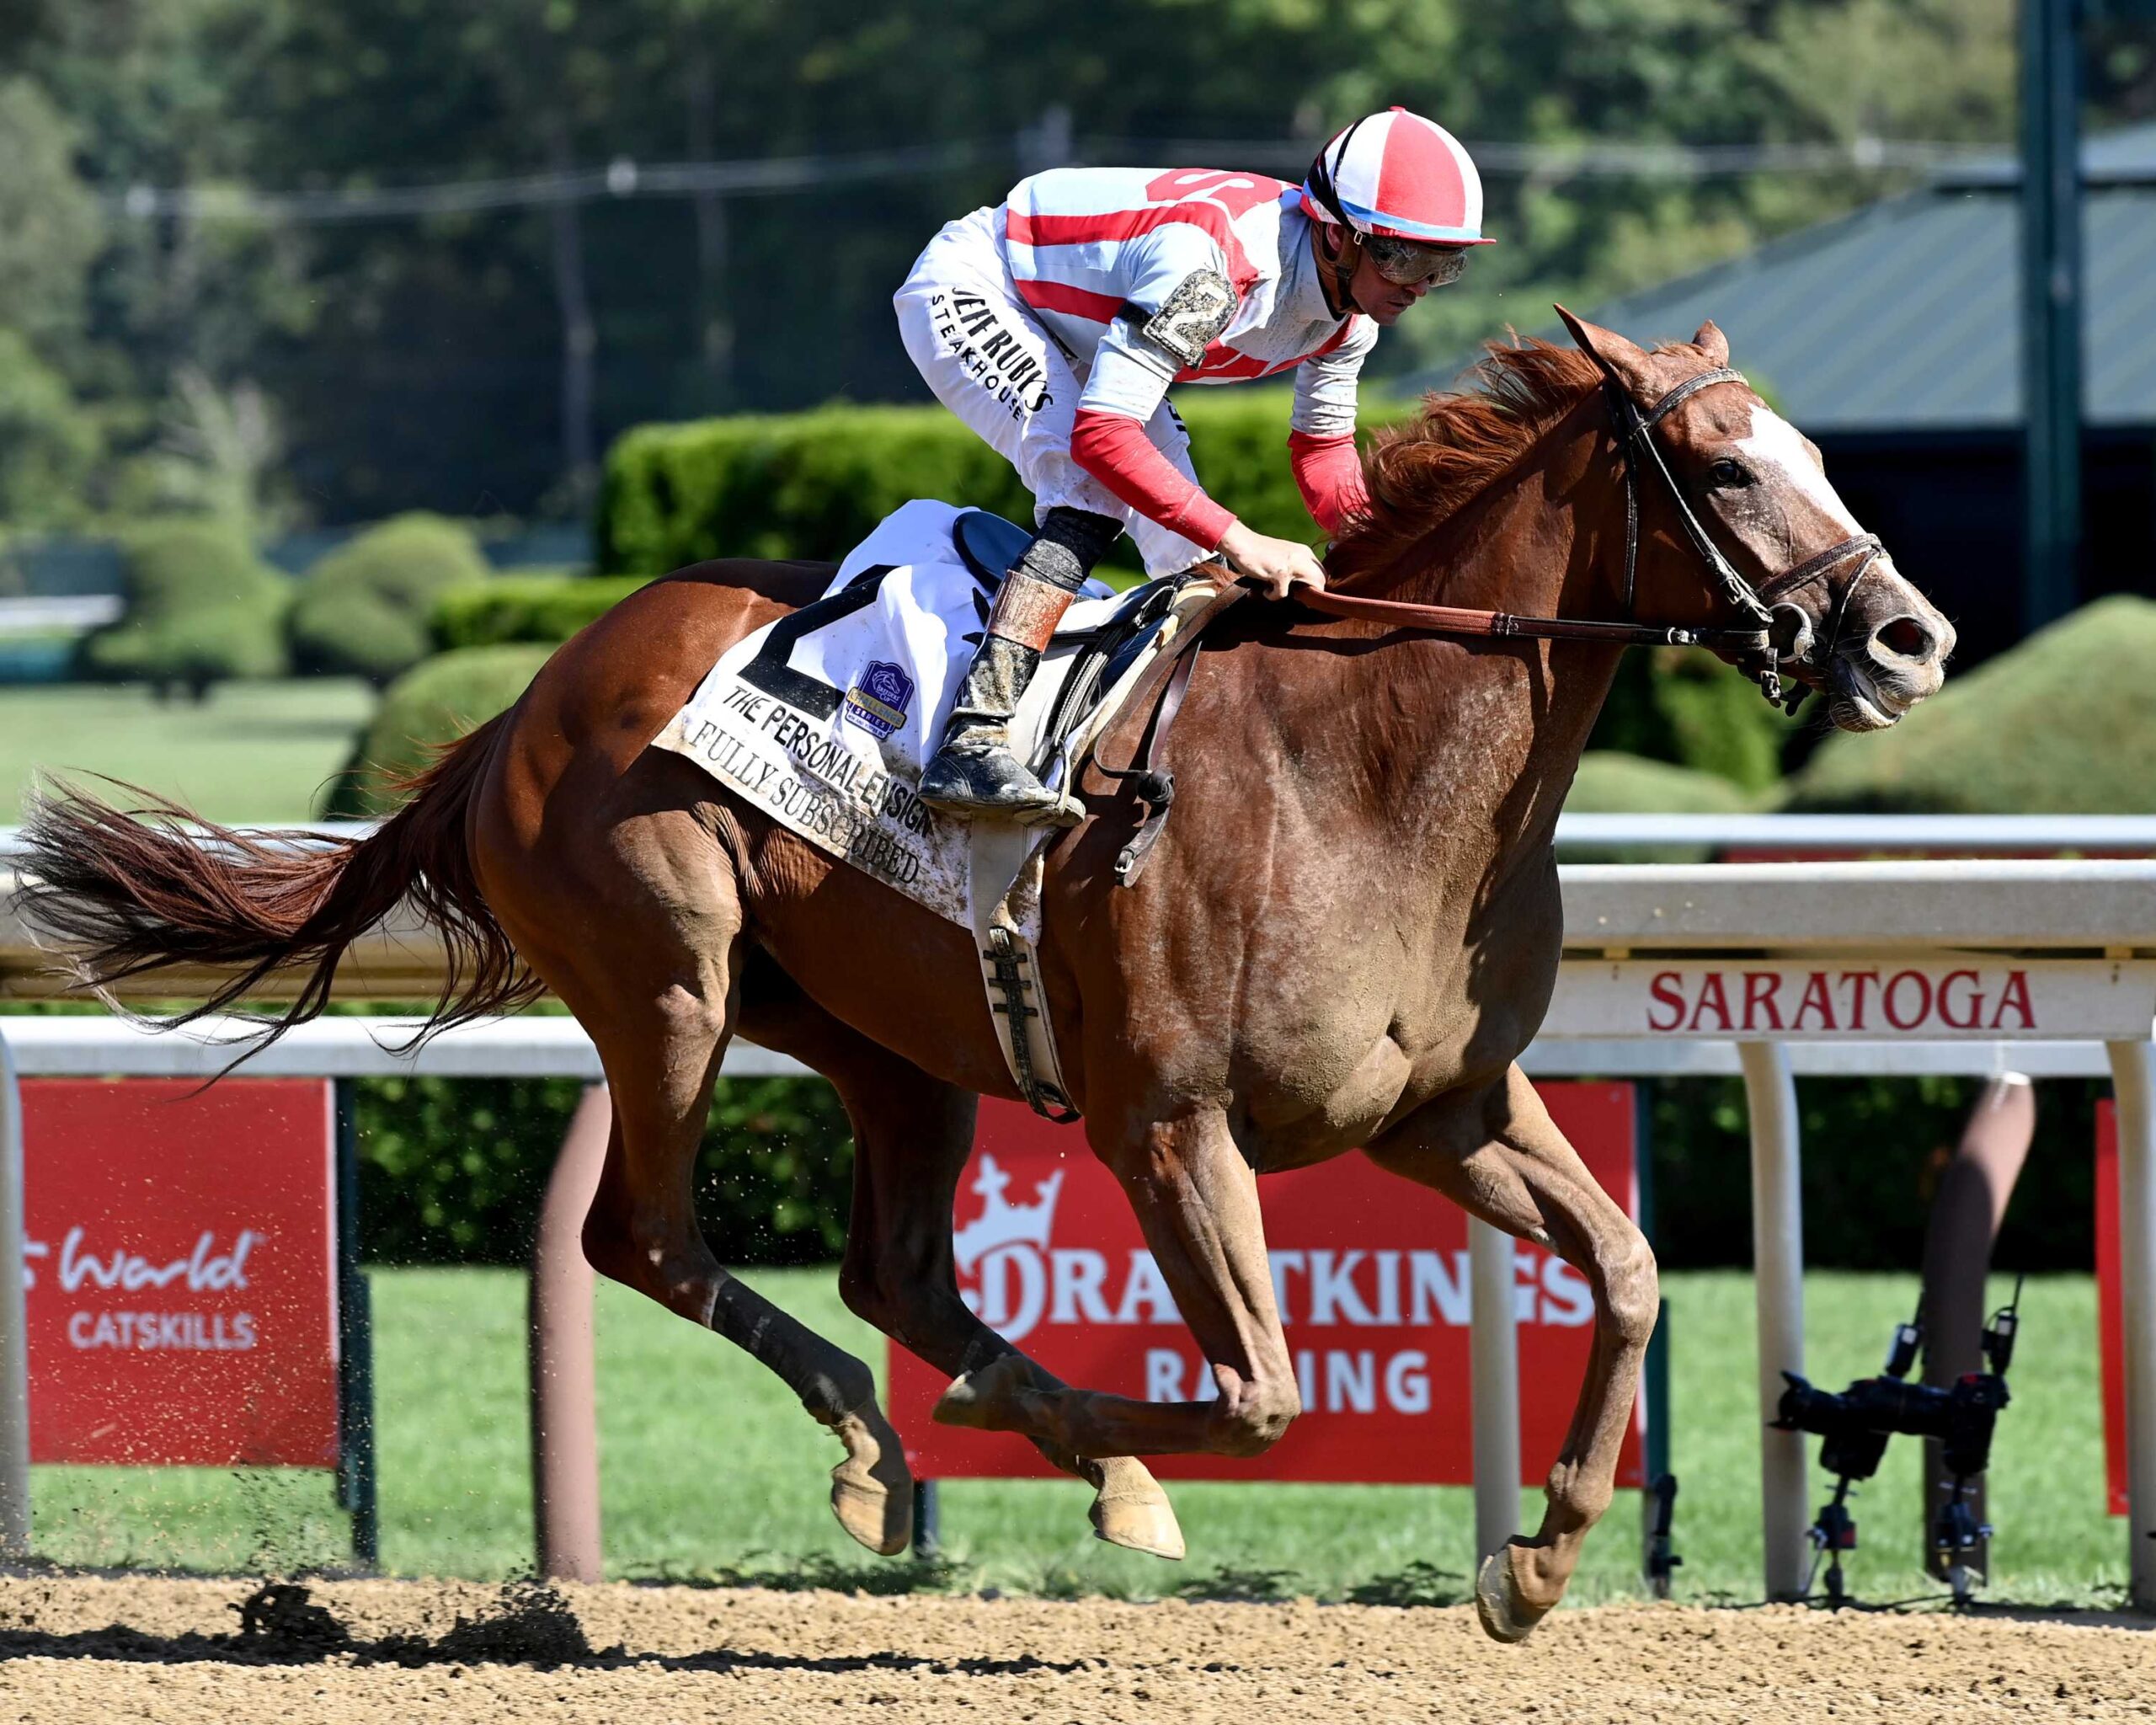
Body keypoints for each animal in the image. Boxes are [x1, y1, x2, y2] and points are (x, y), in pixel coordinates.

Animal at [18, 313, 1953, 1641]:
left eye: (1811, 453)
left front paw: (1534, 1558)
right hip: (671, 978)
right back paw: (917, 1444)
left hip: (889, 1040)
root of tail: (523, 699)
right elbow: (1260, 1389)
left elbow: (1624, 1270)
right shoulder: (1167, 1119)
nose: (1909, 634)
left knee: (888, 1264)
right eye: (1727, 471)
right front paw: (1077, 1440)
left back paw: (949, 1437)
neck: (1366, 764)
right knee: (640, 1236)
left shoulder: (1437, 1106)